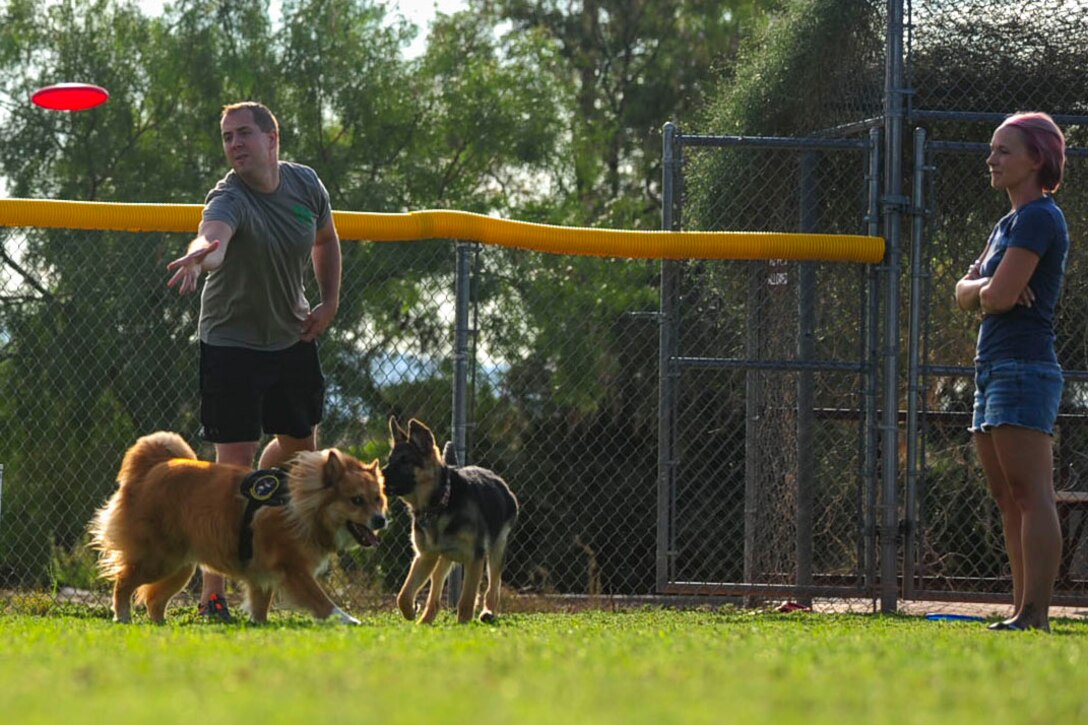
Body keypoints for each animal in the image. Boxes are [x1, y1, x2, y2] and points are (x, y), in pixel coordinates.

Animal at [90, 428, 387, 622]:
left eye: (377, 499)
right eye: (356, 500)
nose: (381, 520)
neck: (302, 505)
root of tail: (153, 467)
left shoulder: (263, 574)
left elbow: (260, 604)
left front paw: (260, 626)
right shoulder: (293, 569)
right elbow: (320, 599)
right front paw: (346, 620)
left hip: (179, 565)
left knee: (154, 599)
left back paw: (160, 626)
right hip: (159, 559)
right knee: (123, 582)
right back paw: (123, 616)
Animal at [382, 415, 517, 622]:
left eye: (405, 461)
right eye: (390, 460)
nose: (378, 475)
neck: (441, 502)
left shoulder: (475, 558)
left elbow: (467, 600)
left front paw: (463, 625)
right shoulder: (425, 556)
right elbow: (403, 595)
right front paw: (411, 611)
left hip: (496, 551)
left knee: (493, 588)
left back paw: (488, 613)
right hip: (442, 561)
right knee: (435, 596)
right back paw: (424, 621)